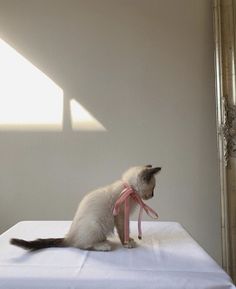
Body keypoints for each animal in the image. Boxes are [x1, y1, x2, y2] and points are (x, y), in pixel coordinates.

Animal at [10, 165, 161, 251]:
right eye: (153, 188)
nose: (153, 195)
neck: (129, 189)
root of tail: (69, 237)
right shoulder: (121, 216)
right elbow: (123, 230)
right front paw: (127, 243)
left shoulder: (124, 217)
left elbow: (126, 230)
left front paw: (129, 240)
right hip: (95, 224)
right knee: (82, 245)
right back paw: (103, 246)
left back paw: (103, 241)